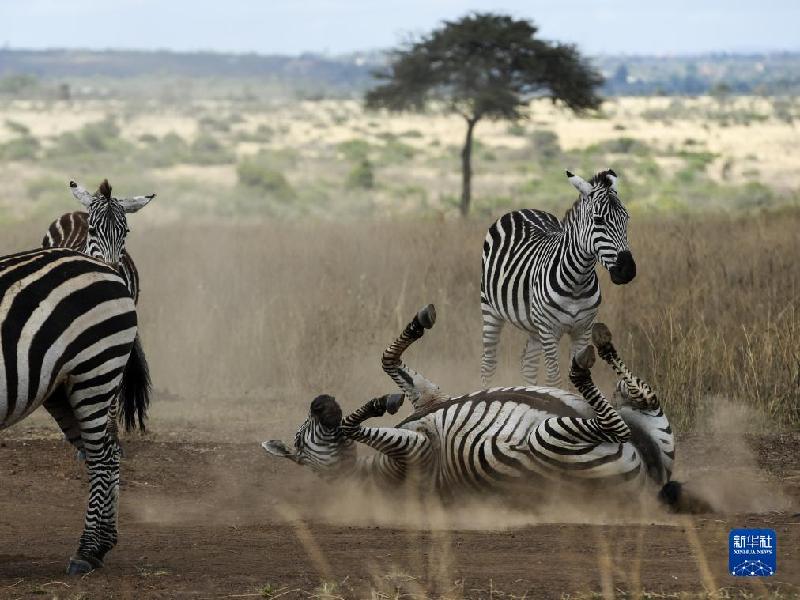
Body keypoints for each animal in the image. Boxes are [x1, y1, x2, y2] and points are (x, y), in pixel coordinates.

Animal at [0, 246, 152, 576]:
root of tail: (108, 267)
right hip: (63, 389)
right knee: (109, 453)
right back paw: (102, 545)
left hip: (94, 370)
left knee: (102, 457)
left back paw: (87, 551)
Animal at [43, 180, 155, 452]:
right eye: (93, 231)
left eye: (125, 232)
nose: (112, 271)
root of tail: (76, 213)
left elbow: (111, 391)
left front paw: (110, 435)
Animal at [262, 304, 700, 510]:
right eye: (301, 441)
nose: (321, 403)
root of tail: (650, 487)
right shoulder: (420, 452)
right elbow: (349, 427)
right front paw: (375, 405)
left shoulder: (431, 396)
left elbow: (387, 360)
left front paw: (418, 326)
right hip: (550, 440)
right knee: (614, 425)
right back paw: (582, 366)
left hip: (649, 428)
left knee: (641, 398)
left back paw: (602, 343)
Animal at [482, 166, 636, 386]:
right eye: (598, 220)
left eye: (626, 218)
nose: (628, 270)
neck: (577, 283)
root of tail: (522, 210)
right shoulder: (549, 331)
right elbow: (554, 379)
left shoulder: (583, 330)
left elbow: (578, 374)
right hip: (490, 309)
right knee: (489, 363)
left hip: (534, 325)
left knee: (528, 365)